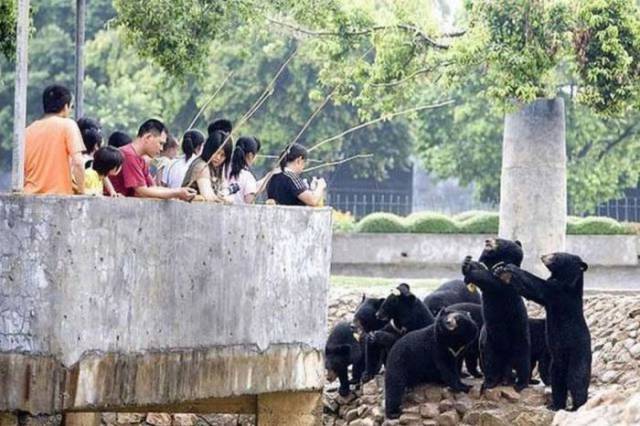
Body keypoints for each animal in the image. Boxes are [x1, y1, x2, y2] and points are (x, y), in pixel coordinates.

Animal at [460, 238, 528, 392]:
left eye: (499, 240)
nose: (487, 240)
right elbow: (482, 270)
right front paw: (467, 263)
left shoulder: (506, 284)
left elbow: (494, 280)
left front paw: (472, 272)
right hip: (488, 341)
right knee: (490, 361)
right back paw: (491, 382)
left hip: (518, 335)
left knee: (522, 358)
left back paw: (520, 383)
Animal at [492, 251, 592, 412]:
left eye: (556, 255)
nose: (543, 256)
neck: (565, 278)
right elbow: (530, 292)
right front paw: (499, 269)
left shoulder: (560, 293)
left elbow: (538, 287)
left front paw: (509, 267)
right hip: (556, 364)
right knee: (558, 383)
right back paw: (555, 406)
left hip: (578, 355)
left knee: (576, 380)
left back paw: (576, 406)